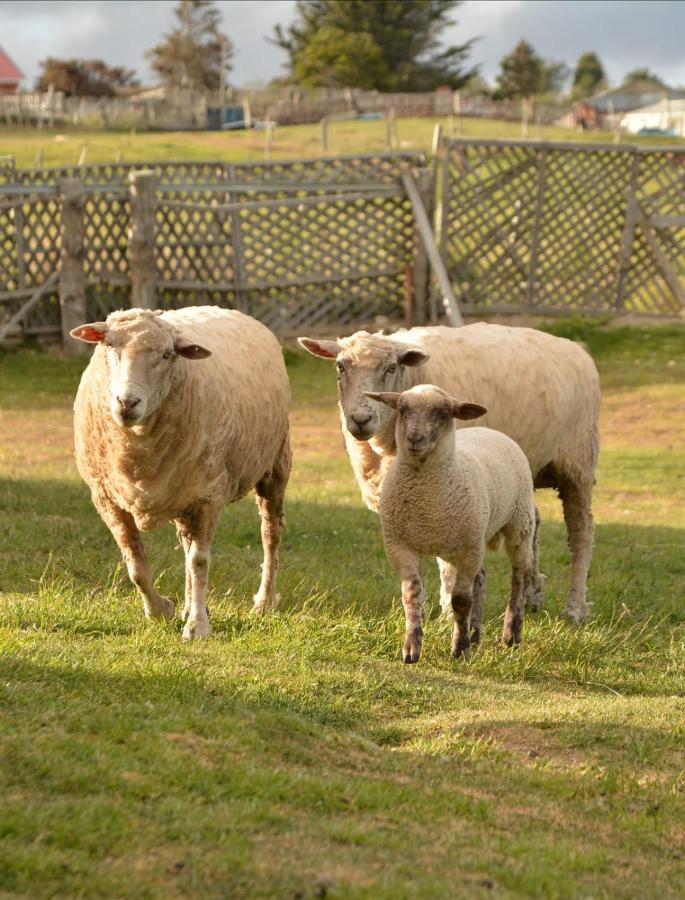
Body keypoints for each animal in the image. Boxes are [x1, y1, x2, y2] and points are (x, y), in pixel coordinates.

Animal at [71, 310, 290, 640]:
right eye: (109, 345)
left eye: (166, 354)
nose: (127, 403)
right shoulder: (107, 498)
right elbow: (136, 565)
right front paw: (162, 610)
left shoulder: (208, 496)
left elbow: (200, 561)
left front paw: (197, 626)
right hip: (183, 491)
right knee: (186, 546)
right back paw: (189, 605)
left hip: (274, 465)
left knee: (270, 535)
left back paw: (264, 601)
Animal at [300, 324, 600, 624]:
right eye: (340, 366)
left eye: (391, 368)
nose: (361, 419)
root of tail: (574, 347)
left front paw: (447, 611)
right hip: (523, 474)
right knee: (532, 524)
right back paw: (531, 596)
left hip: (578, 464)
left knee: (581, 533)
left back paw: (574, 608)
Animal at [366, 384, 536, 664]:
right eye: (402, 409)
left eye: (443, 413)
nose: (414, 438)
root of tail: (488, 429)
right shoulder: (400, 546)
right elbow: (412, 596)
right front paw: (411, 648)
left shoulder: (467, 551)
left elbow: (460, 601)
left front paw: (460, 649)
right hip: (470, 538)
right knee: (481, 578)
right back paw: (476, 634)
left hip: (519, 524)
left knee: (520, 576)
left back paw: (511, 635)